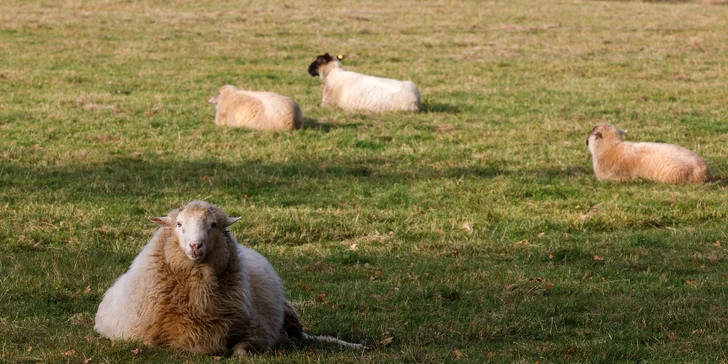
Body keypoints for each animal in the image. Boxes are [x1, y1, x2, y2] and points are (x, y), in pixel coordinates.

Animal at [94, 200, 364, 354]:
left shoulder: (254, 334)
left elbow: (241, 352)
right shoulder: (147, 340)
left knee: (305, 336)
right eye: (179, 224)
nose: (195, 246)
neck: (199, 298)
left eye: (213, 225)